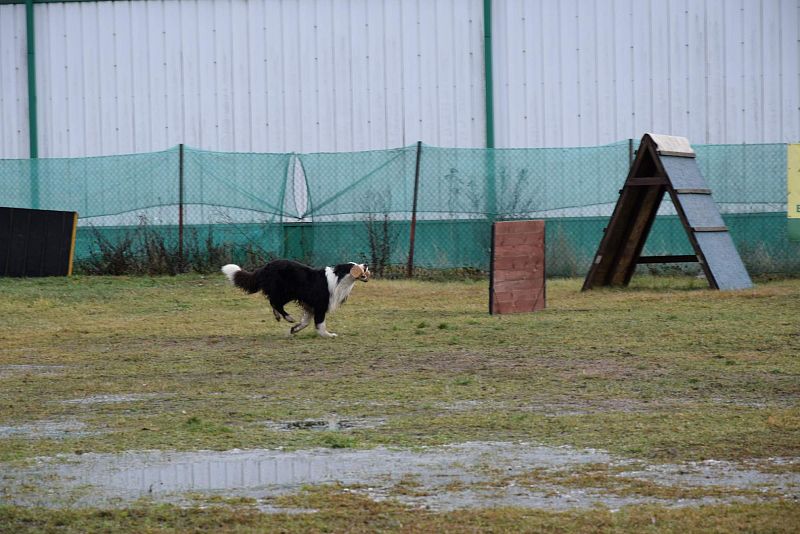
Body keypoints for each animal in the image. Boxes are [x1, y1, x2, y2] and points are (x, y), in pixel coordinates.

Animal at [219, 260, 368, 340]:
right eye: (353, 266)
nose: (366, 264)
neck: (339, 279)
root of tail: (266, 266)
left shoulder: (309, 306)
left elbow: (306, 322)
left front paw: (294, 329)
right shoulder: (319, 305)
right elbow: (320, 324)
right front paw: (327, 335)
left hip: (288, 293)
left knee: (274, 303)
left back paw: (279, 316)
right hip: (285, 291)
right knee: (275, 302)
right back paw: (288, 317)